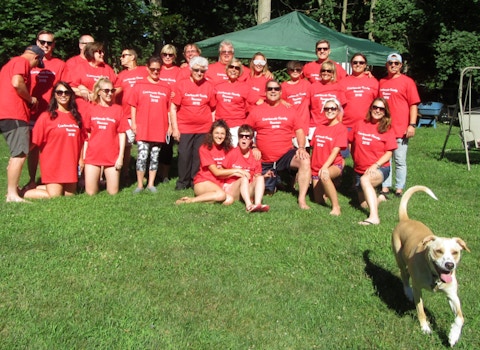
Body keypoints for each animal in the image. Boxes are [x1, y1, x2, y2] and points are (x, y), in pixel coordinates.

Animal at [394, 186, 468, 348]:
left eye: (455, 252)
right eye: (438, 251)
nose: (449, 265)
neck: (434, 276)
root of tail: (406, 219)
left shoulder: (452, 294)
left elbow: (460, 317)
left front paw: (453, 336)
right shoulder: (418, 289)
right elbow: (421, 310)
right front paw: (425, 328)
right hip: (399, 257)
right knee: (404, 275)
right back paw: (407, 291)